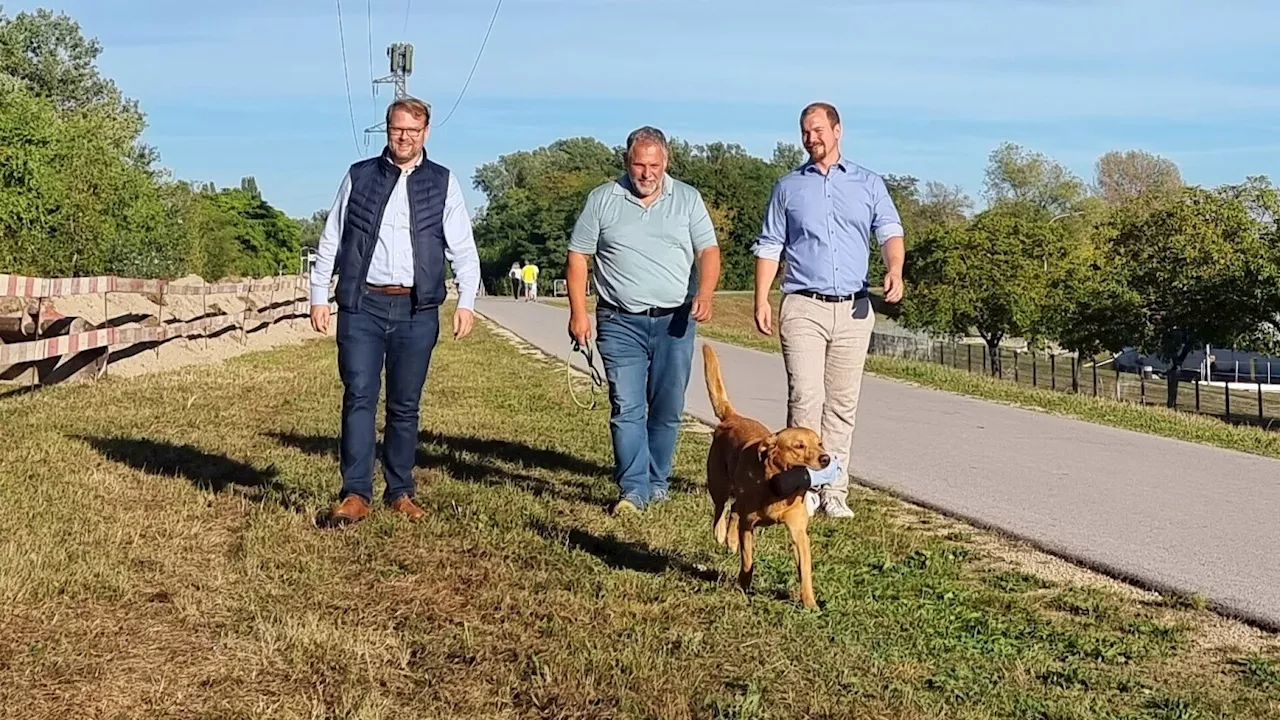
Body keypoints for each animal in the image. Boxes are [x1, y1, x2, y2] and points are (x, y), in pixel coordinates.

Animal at [701, 340, 829, 604]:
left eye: (820, 443)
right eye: (798, 446)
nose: (826, 458)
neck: (777, 489)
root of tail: (733, 417)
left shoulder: (799, 532)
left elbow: (805, 571)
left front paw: (810, 602)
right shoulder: (748, 526)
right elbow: (748, 559)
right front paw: (744, 584)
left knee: (733, 509)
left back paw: (729, 540)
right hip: (718, 483)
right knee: (721, 509)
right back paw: (721, 534)